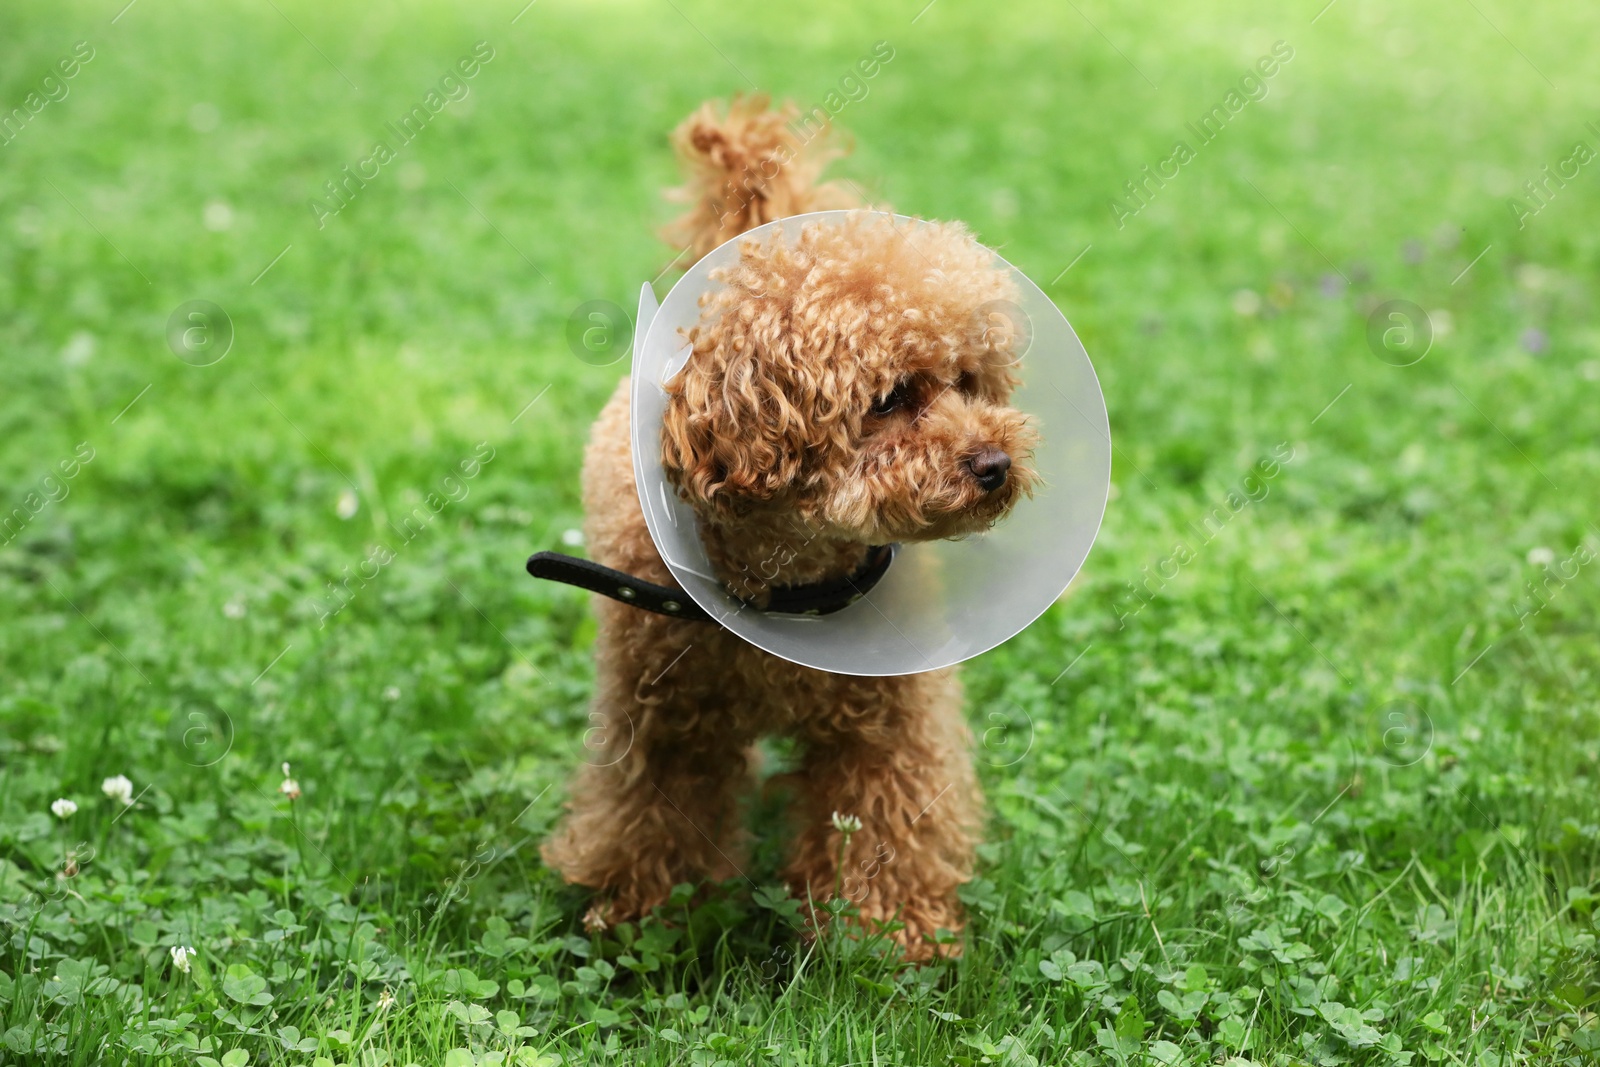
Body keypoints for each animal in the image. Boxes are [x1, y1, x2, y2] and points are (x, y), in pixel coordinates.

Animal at [537, 93, 1036, 959]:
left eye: (969, 381)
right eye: (890, 398)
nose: (995, 464)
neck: (795, 584)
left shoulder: (887, 728)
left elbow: (887, 825)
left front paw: (888, 938)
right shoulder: (666, 725)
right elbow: (653, 822)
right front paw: (645, 921)